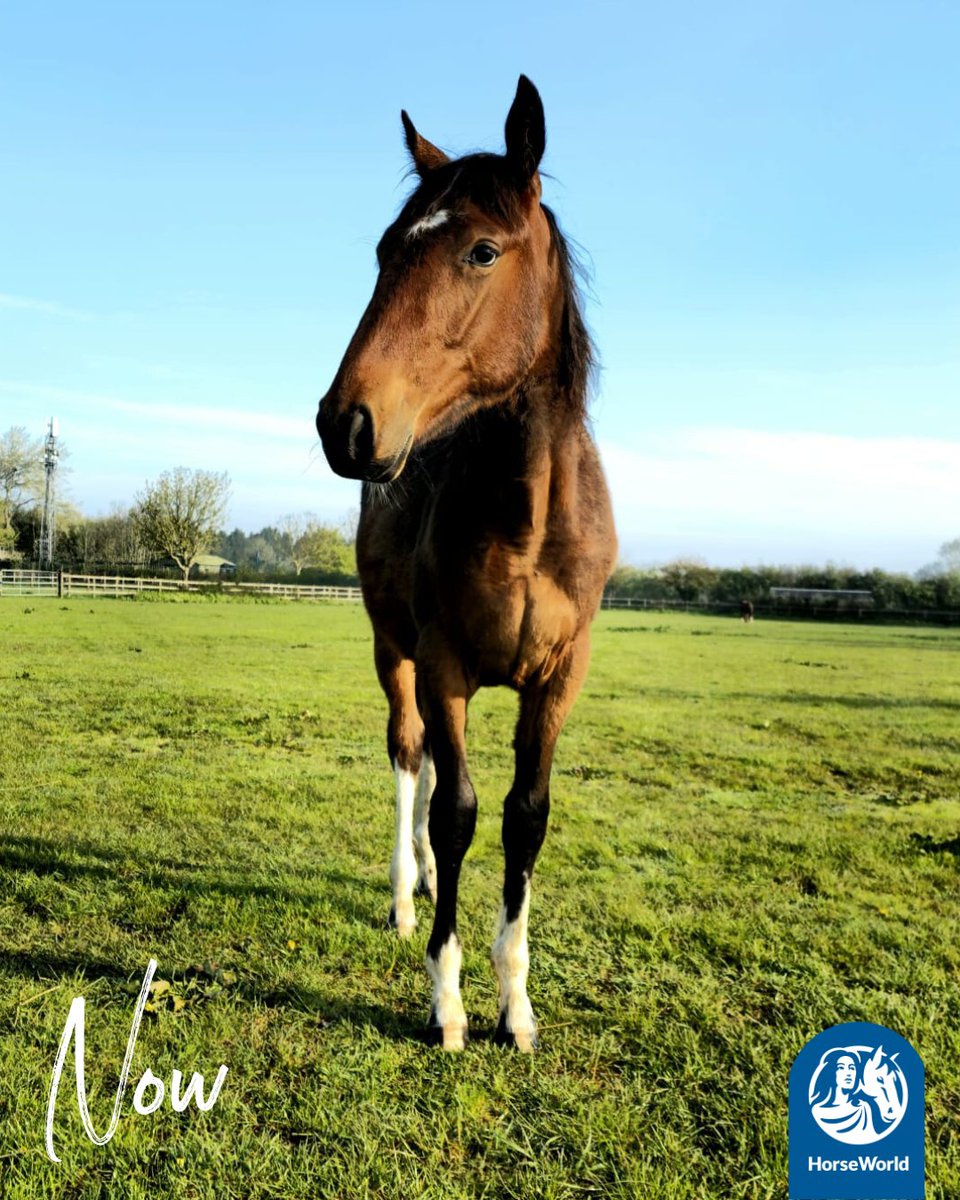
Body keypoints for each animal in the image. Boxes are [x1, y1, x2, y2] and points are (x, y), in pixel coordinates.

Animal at [316, 76, 617, 1051]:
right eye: (385, 249)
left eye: (482, 250)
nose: (346, 422)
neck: (525, 523)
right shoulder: (442, 663)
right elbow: (455, 812)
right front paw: (446, 996)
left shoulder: (559, 677)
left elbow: (524, 817)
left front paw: (515, 1004)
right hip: (393, 650)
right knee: (410, 758)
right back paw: (406, 895)